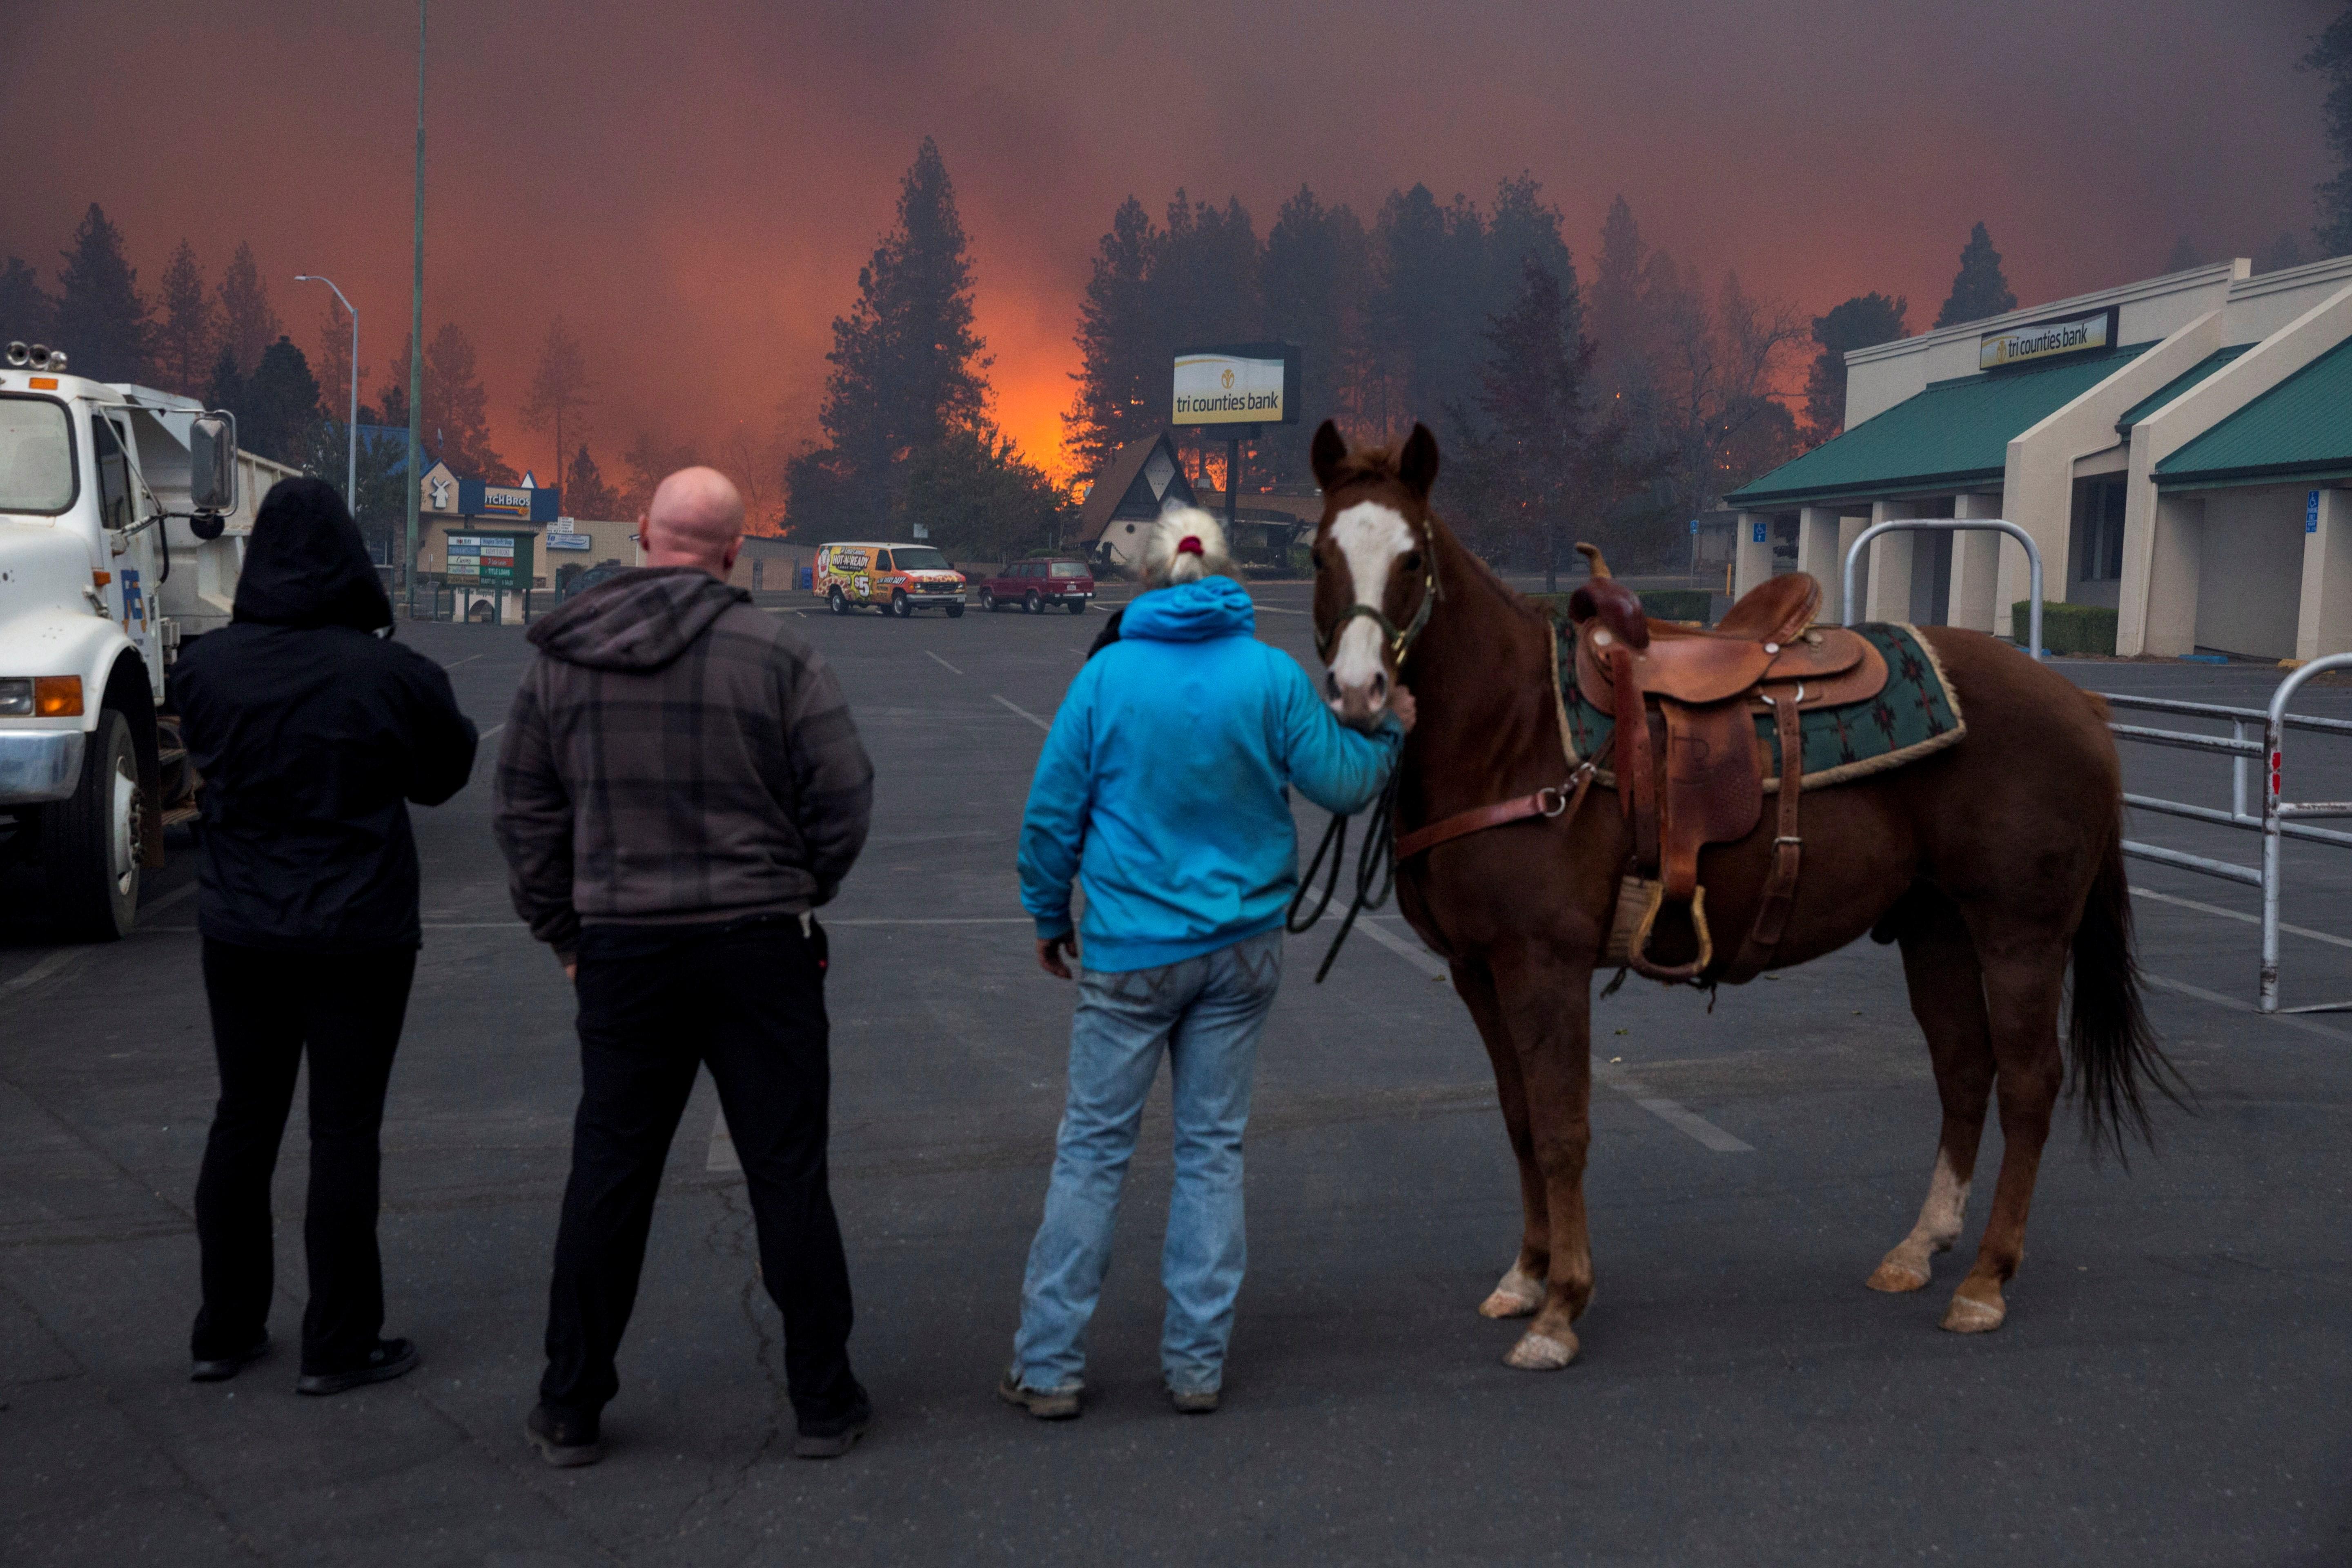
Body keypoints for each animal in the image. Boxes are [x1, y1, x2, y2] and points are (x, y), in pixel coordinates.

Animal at [1307, 421, 2164, 1373]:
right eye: (1319, 553)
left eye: (1413, 559)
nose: (1358, 692)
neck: (1516, 731)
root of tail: (2079, 702)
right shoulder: (1478, 972)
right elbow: (1521, 1119)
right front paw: (1527, 1277)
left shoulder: (1545, 964)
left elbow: (1563, 1129)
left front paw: (1560, 1309)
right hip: (1936, 928)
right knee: (1965, 1070)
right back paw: (1920, 1248)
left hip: (2021, 934)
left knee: (2027, 1082)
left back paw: (1985, 1282)